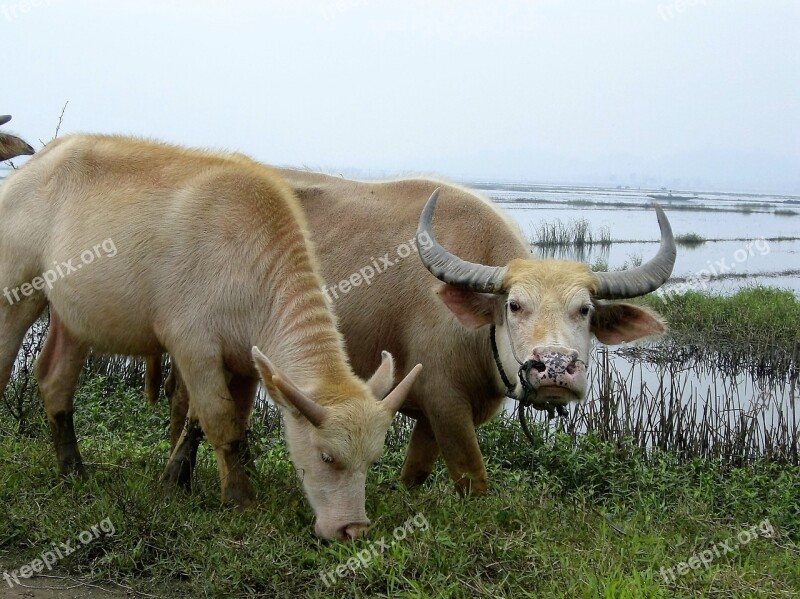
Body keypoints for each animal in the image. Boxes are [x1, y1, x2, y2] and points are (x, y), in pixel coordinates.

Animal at [0, 135, 422, 540]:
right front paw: (238, 497)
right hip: (16, 290)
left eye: (371, 460)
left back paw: (72, 469)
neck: (249, 262)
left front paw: (177, 481)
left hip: (74, 316)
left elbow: (202, 420)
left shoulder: (241, 359)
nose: (352, 529)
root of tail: (37, 164)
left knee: (56, 380)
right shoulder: (193, 347)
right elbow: (221, 421)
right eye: (327, 457)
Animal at [152, 170, 676, 496]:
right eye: (514, 305)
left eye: (584, 310)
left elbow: (416, 473)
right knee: (199, 409)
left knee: (191, 402)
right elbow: (471, 477)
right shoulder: (447, 403)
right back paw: (180, 478)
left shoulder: (431, 412)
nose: (555, 368)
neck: (474, 331)